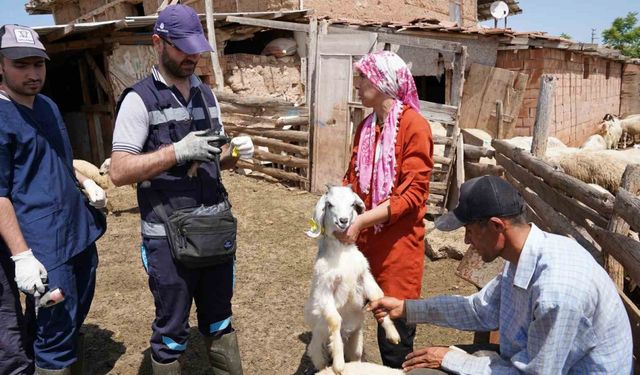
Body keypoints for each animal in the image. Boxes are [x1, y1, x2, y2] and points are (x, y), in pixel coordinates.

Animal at [302, 187, 398, 374]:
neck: (342, 254)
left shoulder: (364, 275)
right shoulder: (325, 289)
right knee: (321, 362)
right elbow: (334, 320)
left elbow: (378, 296)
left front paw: (393, 334)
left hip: (356, 342)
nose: (343, 221)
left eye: (352, 204)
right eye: (329, 204)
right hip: (317, 348)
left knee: (356, 357)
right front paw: (339, 364)